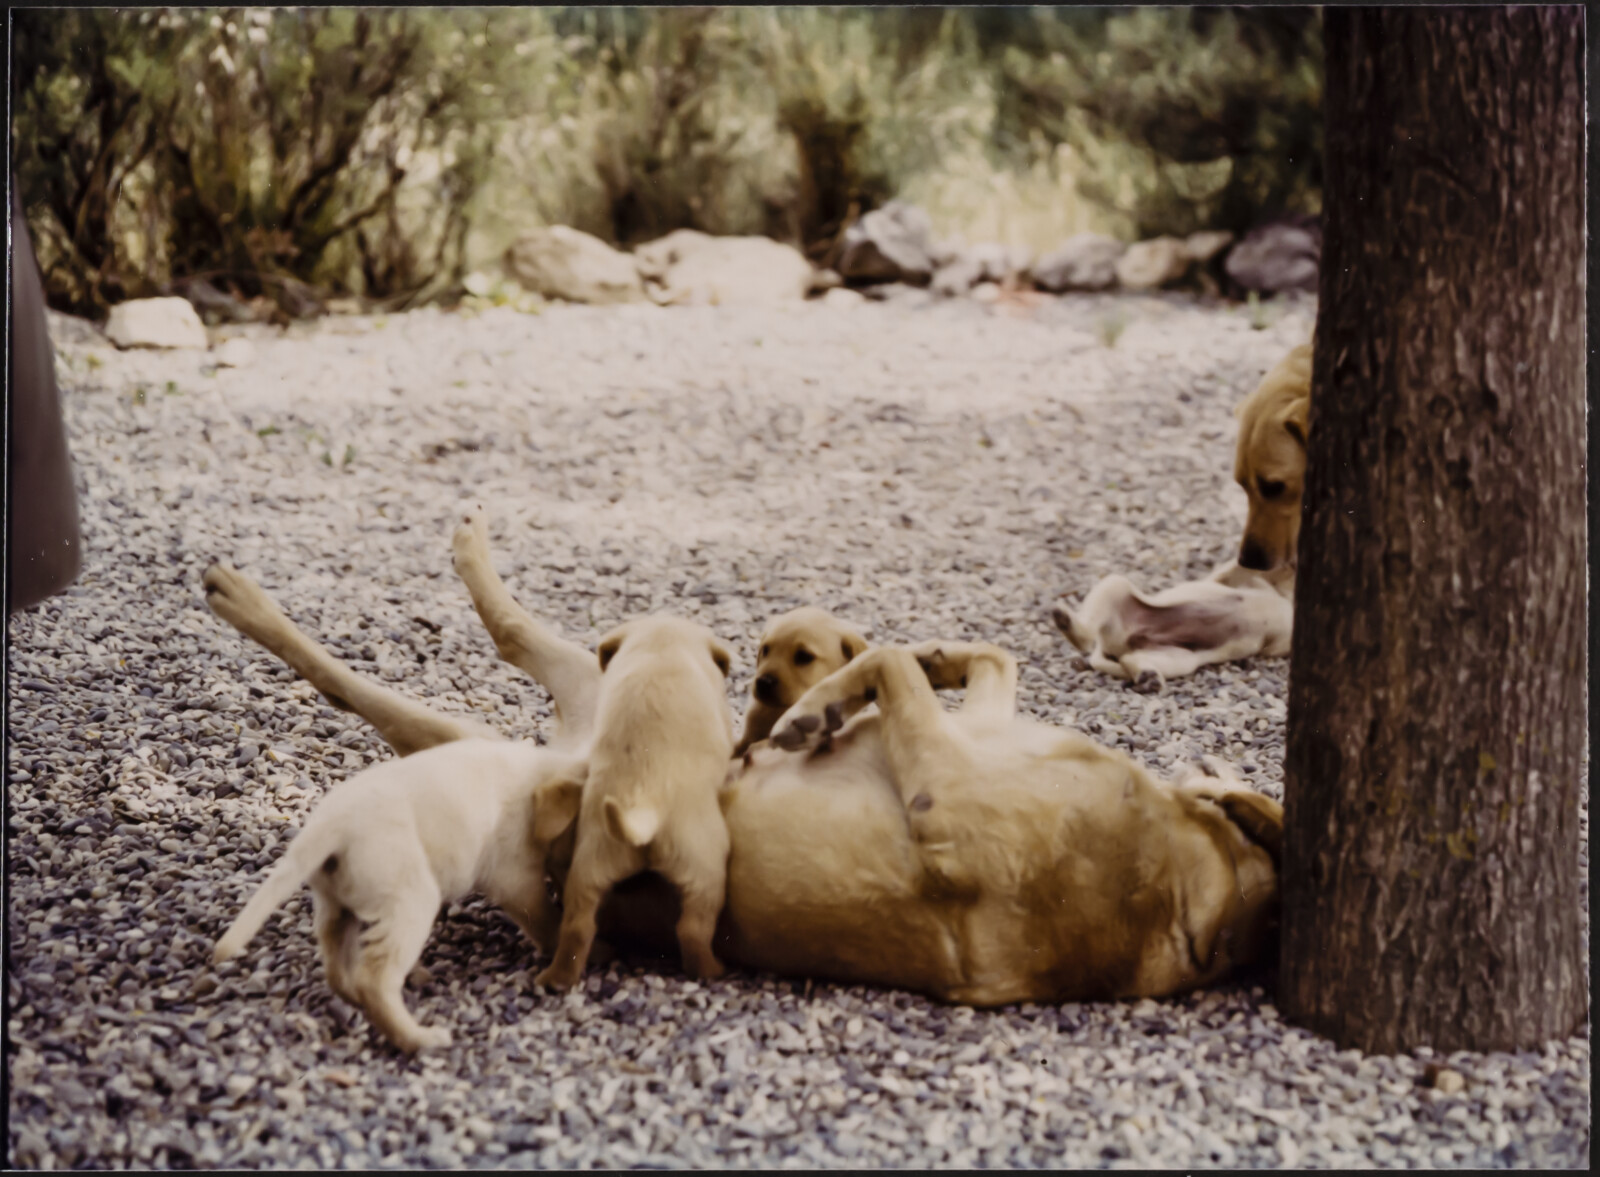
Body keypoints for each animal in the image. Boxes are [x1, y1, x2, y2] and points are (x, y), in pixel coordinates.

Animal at [212, 738, 588, 1055]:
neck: (537, 782)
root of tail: (330, 825)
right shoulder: (516, 876)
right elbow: (544, 917)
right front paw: (564, 947)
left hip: (338, 903)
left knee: (337, 966)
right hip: (410, 899)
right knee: (375, 980)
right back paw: (419, 1038)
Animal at [537, 617, 736, 991]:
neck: (662, 644)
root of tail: (640, 808)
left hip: (590, 865)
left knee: (576, 927)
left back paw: (556, 979)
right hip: (704, 867)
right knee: (692, 928)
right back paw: (712, 970)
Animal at [1056, 332, 1305, 681]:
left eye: (1273, 488)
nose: (1251, 558)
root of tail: (1120, 643)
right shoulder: (1242, 573)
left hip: (1174, 658)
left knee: (1132, 663)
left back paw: (1145, 676)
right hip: (1115, 587)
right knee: (1089, 633)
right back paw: (1069, 623)